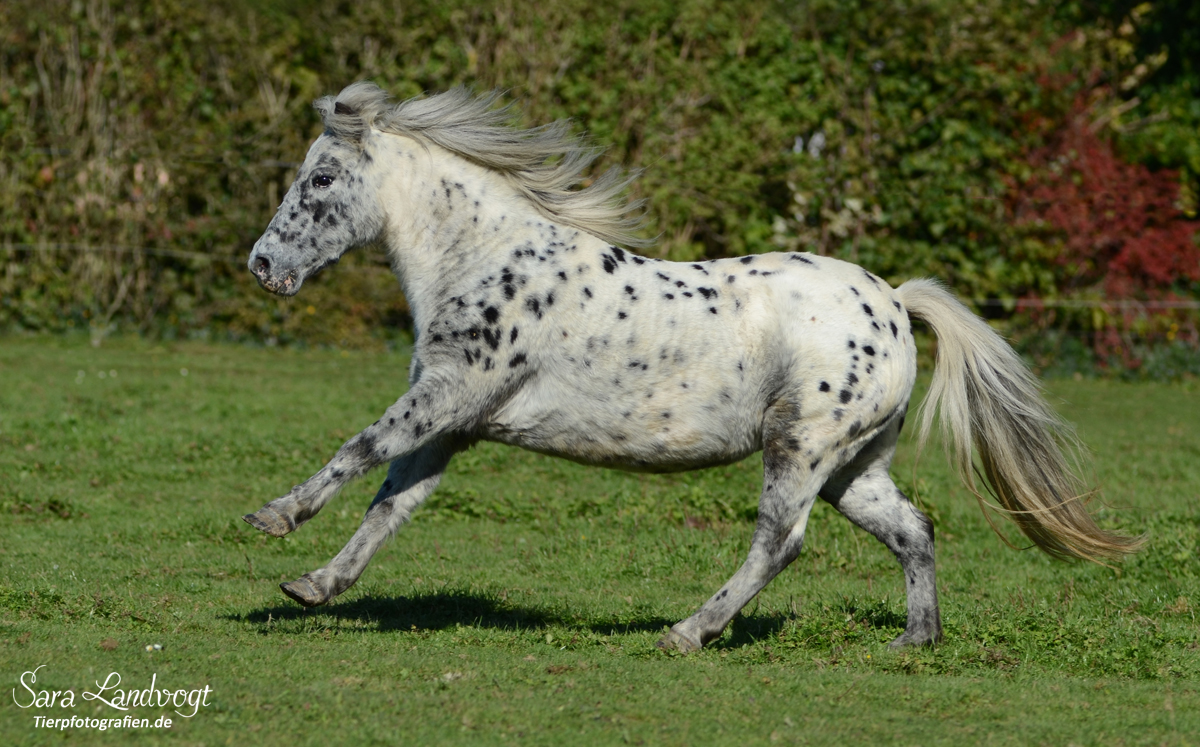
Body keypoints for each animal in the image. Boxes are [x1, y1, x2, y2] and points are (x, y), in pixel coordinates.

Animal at [243, 81, 1142, 653]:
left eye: (322, 178)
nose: (261, 264)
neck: (490, 258)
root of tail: (891, 301)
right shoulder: (453, 422)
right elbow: (390, 504)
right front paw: (314, 584)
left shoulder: (446, 395)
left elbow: (360, 448)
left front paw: (274, 518)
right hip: (855, 465)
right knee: (912, 529)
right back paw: (915, 639)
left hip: (801, 446)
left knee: (780, 542)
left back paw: (687, 632)